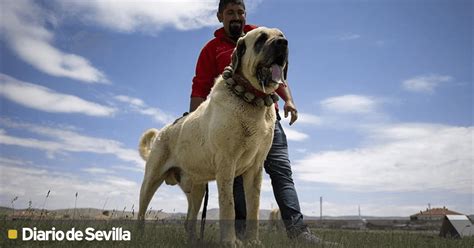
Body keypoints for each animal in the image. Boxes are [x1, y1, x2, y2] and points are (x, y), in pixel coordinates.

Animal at [137, 27, 288, 246]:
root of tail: (162, 132)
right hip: (151, 180)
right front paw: (230, 241)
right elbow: (229, 206)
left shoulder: (255, 169)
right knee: (141, 213)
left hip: (198, 189)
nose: (283, 43)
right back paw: (139, 236)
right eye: (261, 39)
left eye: (281, 36)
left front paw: (253, 241)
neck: (252, 99)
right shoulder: (226, 164)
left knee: (190, 221)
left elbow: (254, 207)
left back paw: (193, 241)